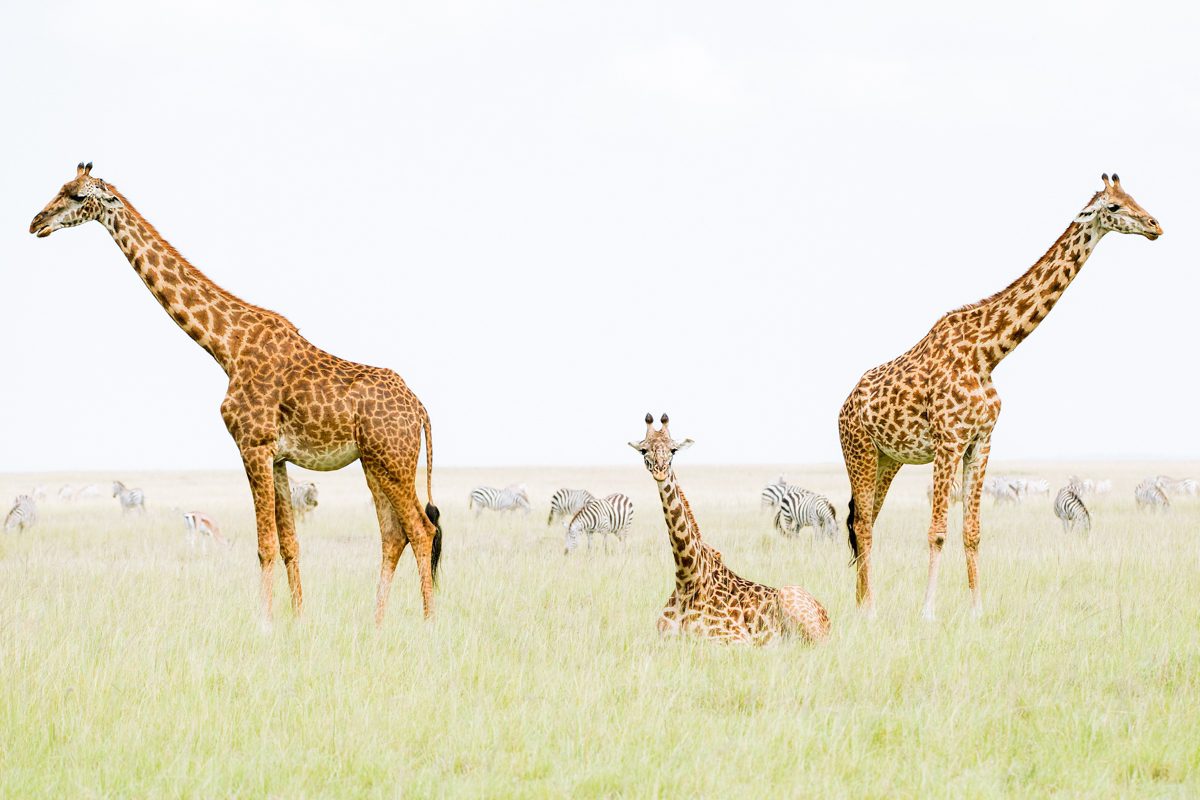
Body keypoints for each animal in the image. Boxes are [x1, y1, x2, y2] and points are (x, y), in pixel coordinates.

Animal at [29, 163, 442, 625]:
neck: (226, 347)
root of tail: (420, 408)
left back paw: (427, 623)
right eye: (61, 188)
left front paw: (264, 623)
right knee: (393, 534)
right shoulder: (277, 456)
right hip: (375, 463)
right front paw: (298, 619)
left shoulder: (253, 445)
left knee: (421, 530)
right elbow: (290, 544)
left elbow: (265, 546)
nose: (37, 222)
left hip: (393, 460)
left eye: (79, 197)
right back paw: (377, 623)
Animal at [629, 414, 830, 644]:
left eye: (673, 450)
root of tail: (828, 619)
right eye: (644, 450)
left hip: (795, 604)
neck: (687, 578)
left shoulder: (734, 639)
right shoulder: (659, 636)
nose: (660, 471)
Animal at [838, 173, 1162, 620]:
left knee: (864, 520)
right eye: (1113, 207)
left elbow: (972, 532)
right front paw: (928, 613)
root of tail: (843, 406)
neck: (988, 352)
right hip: (860, 451)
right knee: (863, 524)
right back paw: (868, 610)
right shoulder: (949, 441)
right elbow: (938, 531)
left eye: (1133, 196)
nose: (1155, 225)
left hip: (889, 460)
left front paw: (976, 610)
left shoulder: (982, 441)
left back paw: (861, 604)